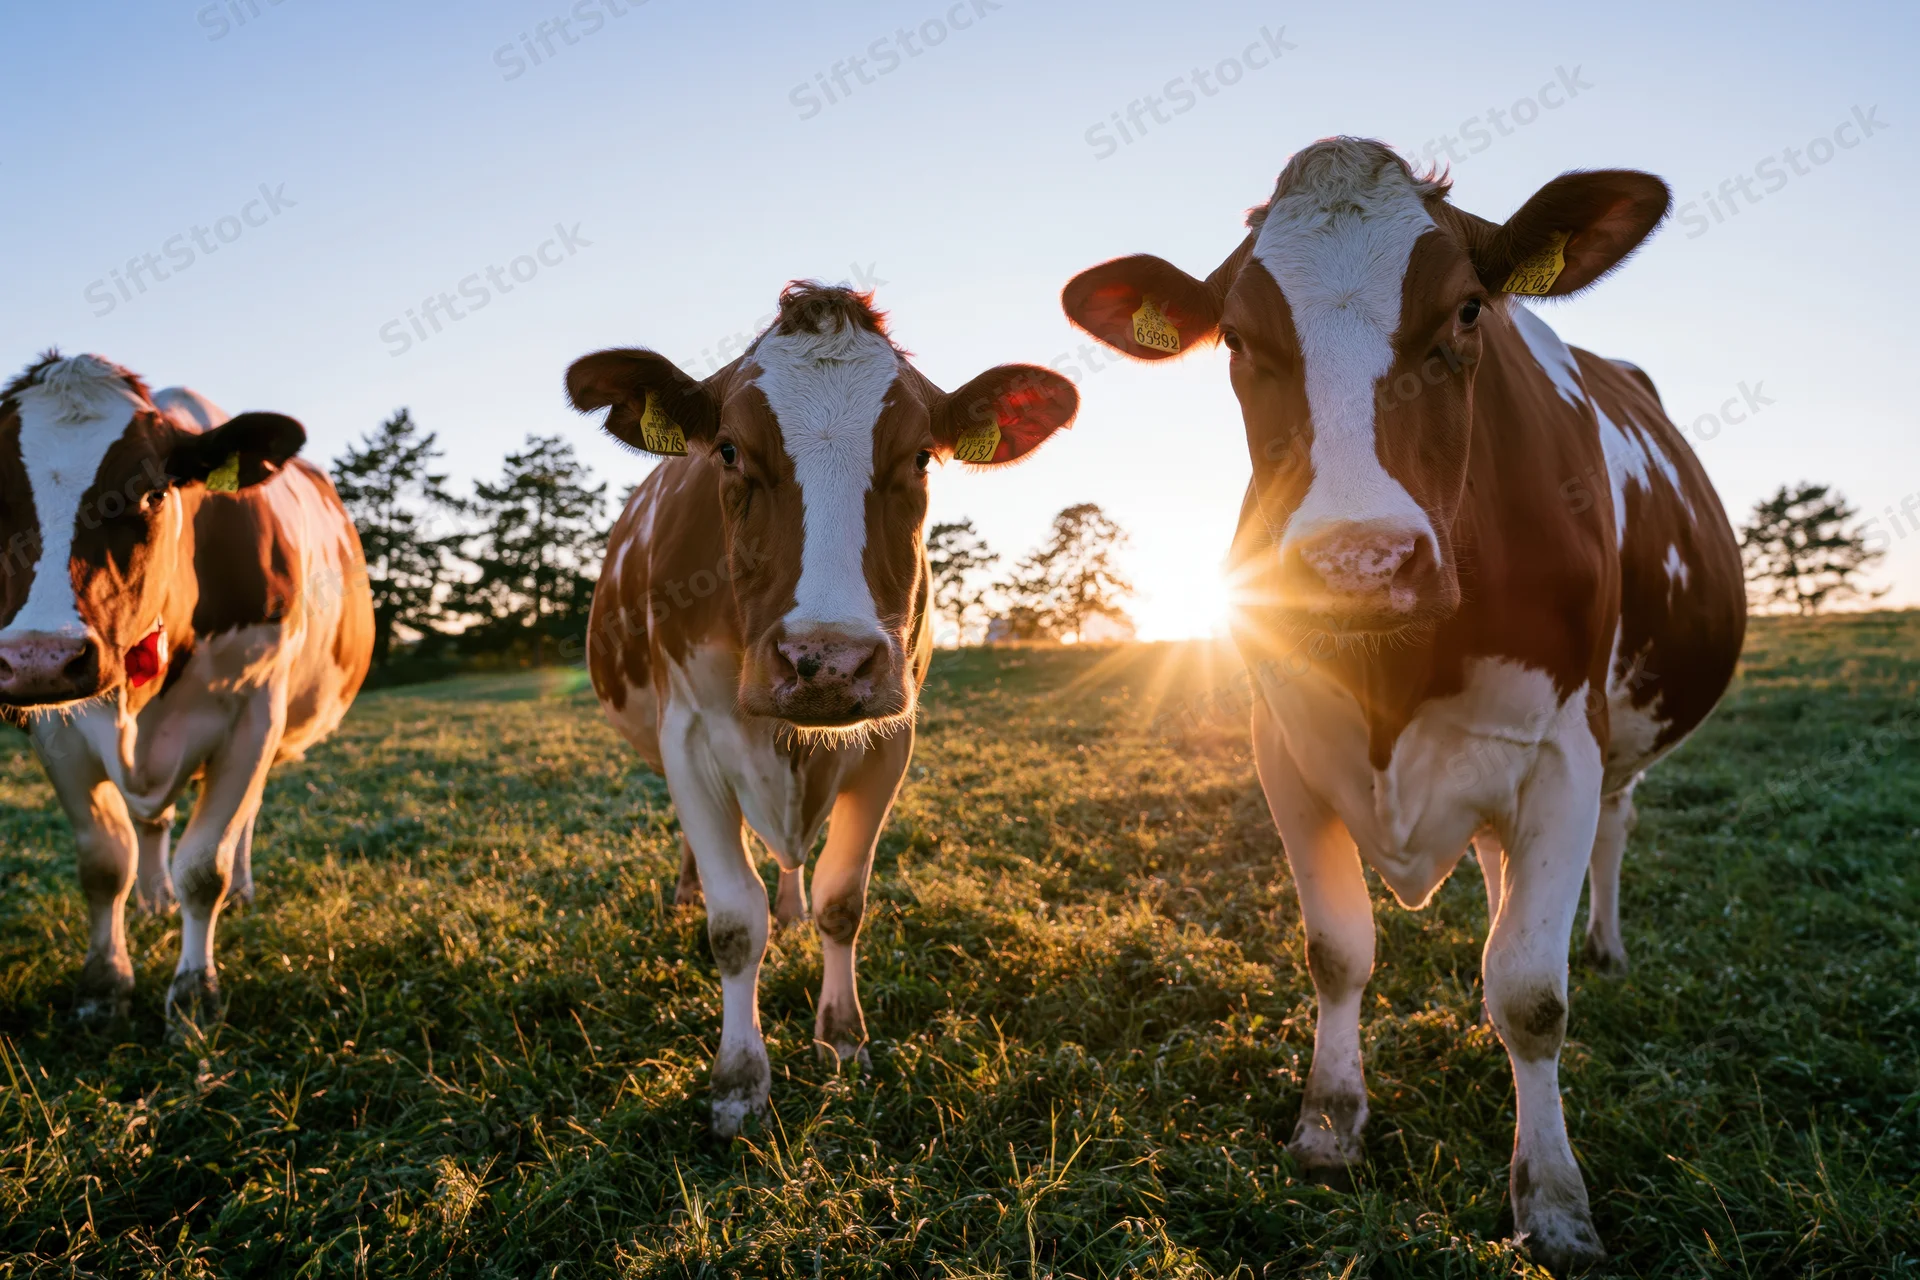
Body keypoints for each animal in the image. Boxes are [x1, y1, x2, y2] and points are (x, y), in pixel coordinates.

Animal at [0, 352, 374, 1028]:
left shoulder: (254, 712)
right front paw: (104, 984)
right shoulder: (55, 730)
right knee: (153, 823)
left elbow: (206, 866)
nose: (42, 655)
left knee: (243, 818)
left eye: (151, 492)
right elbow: (104, 863)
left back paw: (241, 892)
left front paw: (196, 992)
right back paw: (154, 901)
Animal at [567, 283, 1077, 1136]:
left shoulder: (889, 738)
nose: (828, 661)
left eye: (920, 455)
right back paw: (688, 892)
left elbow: (845, 898)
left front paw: (841, 1039)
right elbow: (734, 923)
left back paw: (793, 909)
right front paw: (740, 1078)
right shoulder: (689, 736)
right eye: (728, 450)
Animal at [1061, 138, 1744, 1270]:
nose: (1358, 561)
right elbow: (1337, 949)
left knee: (1613, 831)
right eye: (1238, 339)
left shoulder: (1563, 750)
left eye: (1468, 311)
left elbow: (1530, 993)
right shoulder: (1287, 747)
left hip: (1613, 744)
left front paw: (1554, 1195)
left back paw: (1604, 945)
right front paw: (1329, 1121)